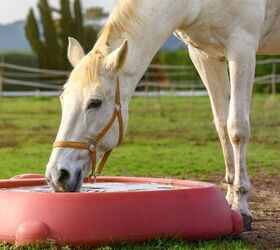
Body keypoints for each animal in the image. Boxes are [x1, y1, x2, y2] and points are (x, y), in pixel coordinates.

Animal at [44, 0, 278, 230]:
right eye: (63, 98)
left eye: (95, 102)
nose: (57, 175)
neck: (195, 4)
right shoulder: (205, 56)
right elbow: (222, 125)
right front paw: (229, 199)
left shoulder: (242, 49)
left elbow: (237, 128)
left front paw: (241, 206)